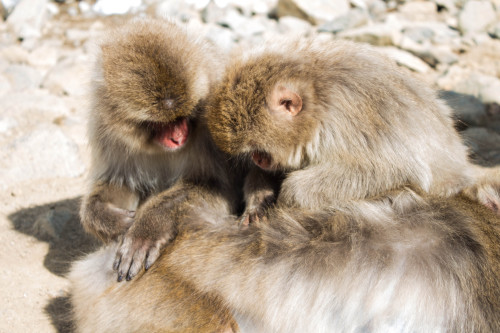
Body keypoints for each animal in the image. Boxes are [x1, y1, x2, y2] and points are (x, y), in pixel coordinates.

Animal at [68, 35, 498, 330]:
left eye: (259, 149)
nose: (260, 159)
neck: (319, 95)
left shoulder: (349, 120)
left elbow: (396, 169)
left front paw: (285, 194)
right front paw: (262, 199)